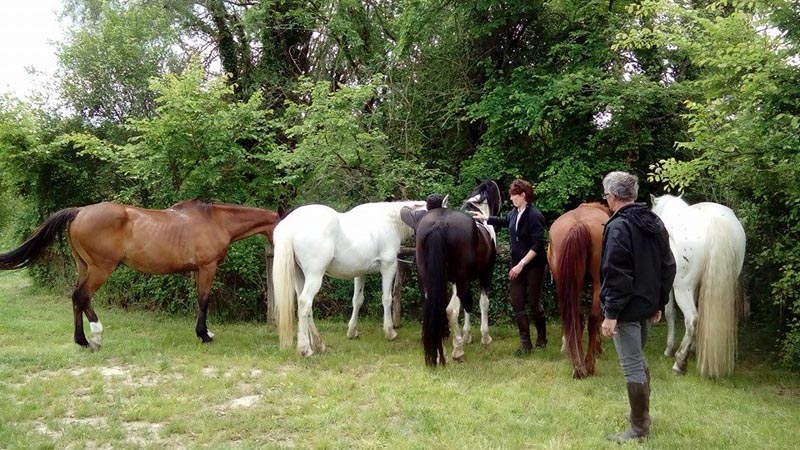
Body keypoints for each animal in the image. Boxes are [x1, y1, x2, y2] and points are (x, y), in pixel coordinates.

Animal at [0, 200, 281, 350]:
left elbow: (199, 301)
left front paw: (204, 332)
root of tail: (79, 211)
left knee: (76, 298)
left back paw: (83, 340)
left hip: (84, 266)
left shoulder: (196, 271)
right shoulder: (207, 267)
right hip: (101, 268)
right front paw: (204, 335)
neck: (215, 221)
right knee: (82, 296)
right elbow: (204, 301)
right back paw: (96, 335)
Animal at [273, 200, 426, 356]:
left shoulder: (360, 273)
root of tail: (291, 225)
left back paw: (319, 344)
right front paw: (390, 332)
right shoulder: (389, 267)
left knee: (305, 305)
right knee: (305, 302)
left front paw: (352, 332)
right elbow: (387, 298)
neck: (389, 221)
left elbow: (357, 300)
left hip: (300, 276)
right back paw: (305, 350)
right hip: (314, 276)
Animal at [414, 180, 501, 366]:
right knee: (453, 309)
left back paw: (440, 353)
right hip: (463, 278)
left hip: (430, 279)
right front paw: (483, 337)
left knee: (438, 307)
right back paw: (458, 350)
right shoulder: (485, 274)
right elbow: (481, 303)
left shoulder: (454, 280)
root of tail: (439, 224)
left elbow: (464, 304)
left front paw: (467, 336)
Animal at [547, 202, 611, 378]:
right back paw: (588, 365)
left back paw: (578, 366)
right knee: (593, 318)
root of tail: (578, 224)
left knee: (576, 318)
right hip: (598, 282)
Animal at [651, 194, 746, 378]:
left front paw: (668, 349)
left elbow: (669, 313)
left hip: (681, 289)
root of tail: (716, 223)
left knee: (692, 319)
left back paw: (679, 363)